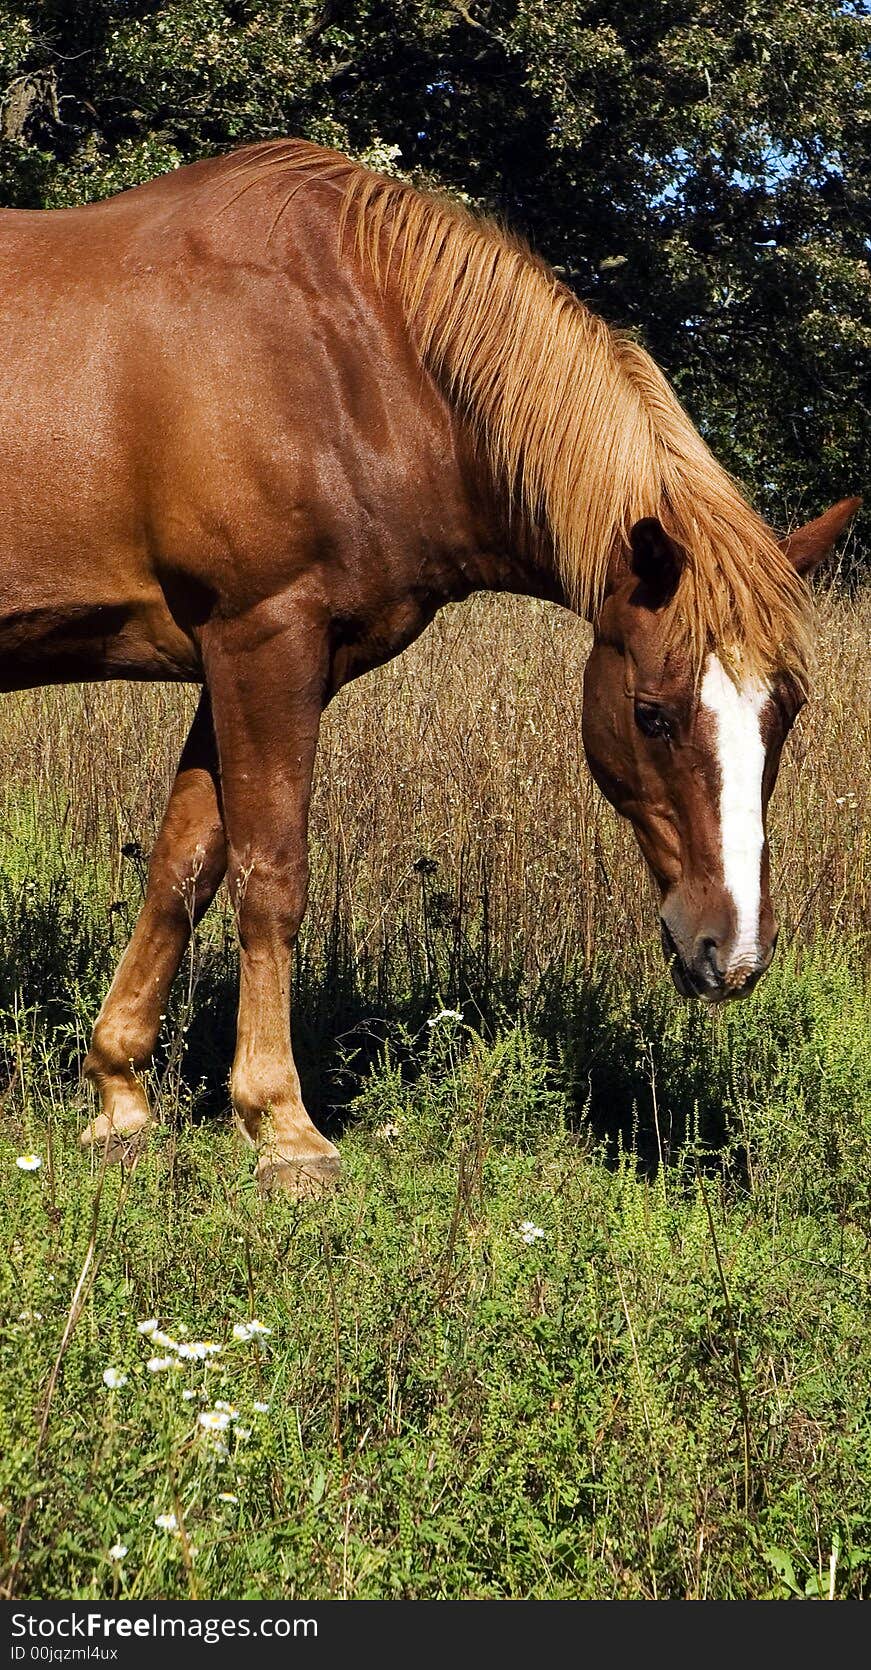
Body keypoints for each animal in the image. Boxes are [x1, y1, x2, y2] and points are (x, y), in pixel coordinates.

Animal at [0, 140, 854, 1189]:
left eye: (786, 715)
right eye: (651, 714)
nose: (729, 954)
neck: (355, 359)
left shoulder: (240, 662)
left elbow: (185, 867)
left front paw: (120, 1096)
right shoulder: (264, 642)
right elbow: (272, 875)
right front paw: (282, 1126)